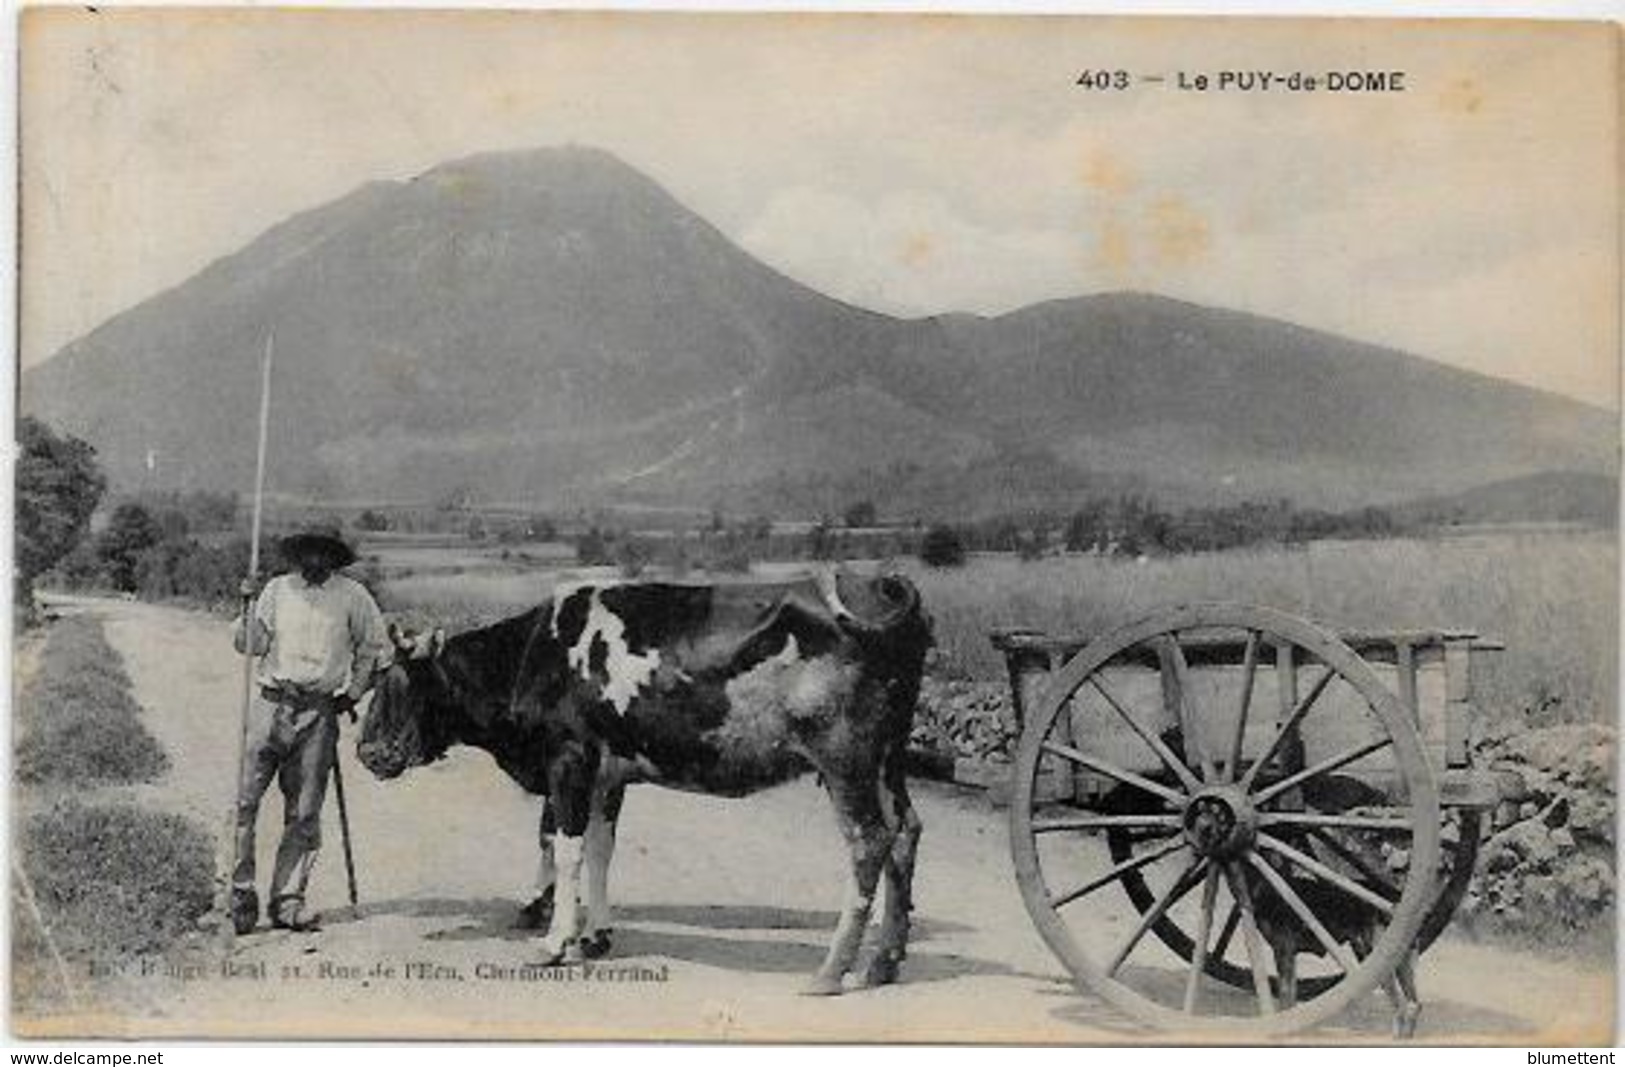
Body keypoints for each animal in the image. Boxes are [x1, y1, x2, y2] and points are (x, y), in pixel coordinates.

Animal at [360, 571, 936, 993]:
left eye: (400, 684)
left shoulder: (569, 759)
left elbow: (566, 849)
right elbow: (600, 849)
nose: (367, 753)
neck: (534, 655)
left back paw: (831, 972)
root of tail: (878, 585)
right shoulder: (608, 774)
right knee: (905, 832)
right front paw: (595, 937)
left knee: (869, 841)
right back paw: (884, 963)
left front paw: (554, 943)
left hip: (845, 758)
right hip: (888, 759)